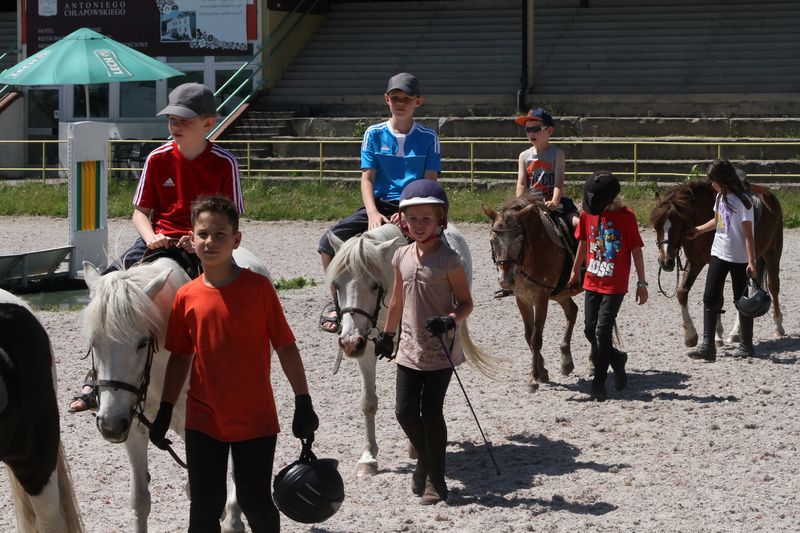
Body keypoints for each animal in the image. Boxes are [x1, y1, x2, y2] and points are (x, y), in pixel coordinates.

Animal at [81, 247, 270, 528]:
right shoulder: (133, 425)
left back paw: (234, 519)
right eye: (94, 342)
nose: (110, 425)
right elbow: (140, 500)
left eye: (142, 342)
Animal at [324, 222, 494, 476]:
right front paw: (368, 458)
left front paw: (415, 446)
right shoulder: (366, 349)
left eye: (374, 285)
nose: (349, 343)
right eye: (336, 285)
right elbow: (368, 402)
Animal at [482, 194, 580, 390]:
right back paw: (566, 361)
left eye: (520, 239)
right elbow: (528, 335)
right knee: (572, 311)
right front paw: (542, 371)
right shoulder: (523, 298)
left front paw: (533, 377)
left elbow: (536, 337)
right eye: (492, 239)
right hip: (560, 293)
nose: (505, 280)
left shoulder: (541, 298)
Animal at [648, 179, 784, 344]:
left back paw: (778, 327)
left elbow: (718, 298)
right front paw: (691, 335)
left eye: (678, 225)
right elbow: (682, 292)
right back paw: (736, 332)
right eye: (656, 227)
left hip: (773, 252)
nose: (666, 262)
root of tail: (769, 194)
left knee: (773, 286)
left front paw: (716, 335)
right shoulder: (696, 261)